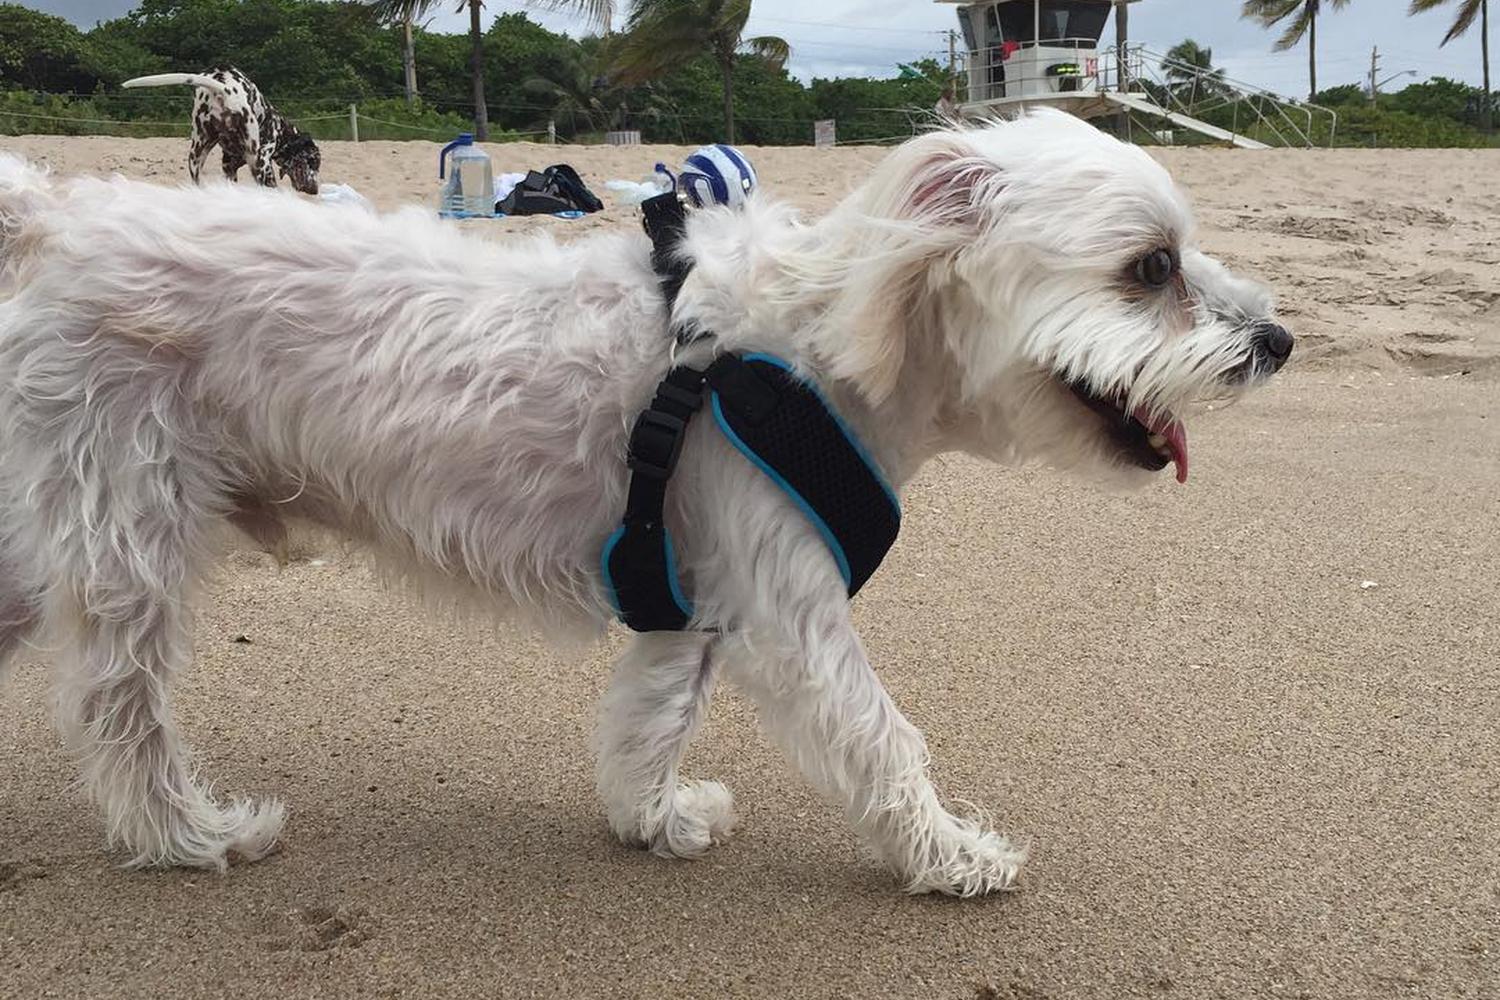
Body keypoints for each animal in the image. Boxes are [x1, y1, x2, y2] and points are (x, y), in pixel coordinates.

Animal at [0, 113, 1290, 893]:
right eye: (1150, 268)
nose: (1280, 341)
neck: (815, 351)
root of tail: (63, 217)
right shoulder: (792, 614)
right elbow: (883, 736)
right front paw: (951, 853)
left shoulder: (695, 596)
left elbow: (650, 721)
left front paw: (651, 820)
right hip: (125, 530)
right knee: (119, 709)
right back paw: (186, 836)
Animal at [123, 67, 319, 194]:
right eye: (314, 162)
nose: (315, 191)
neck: (281, 129)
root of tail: (225, 89)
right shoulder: (264, 161)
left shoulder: (229, 168)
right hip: (255, 159)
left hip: (196, 156)